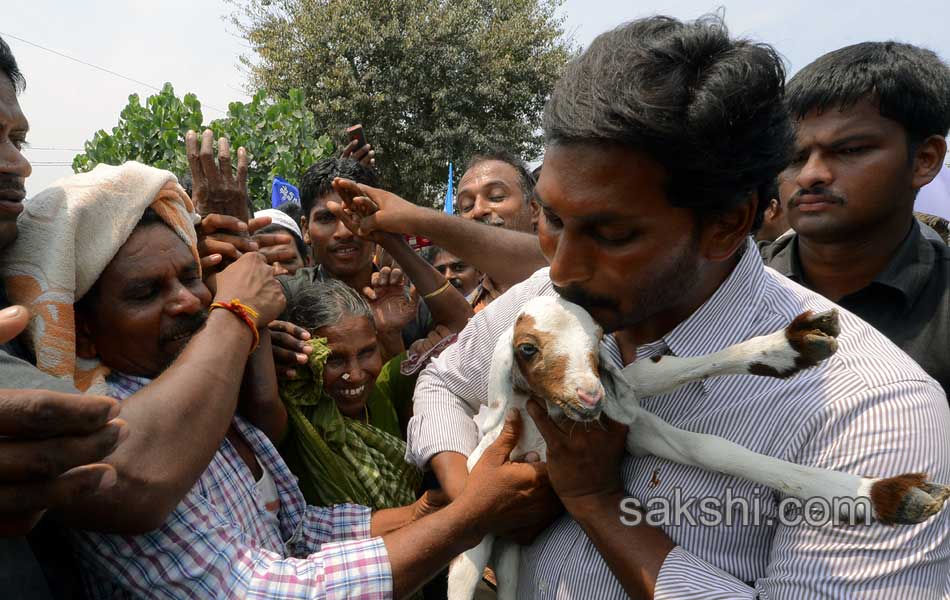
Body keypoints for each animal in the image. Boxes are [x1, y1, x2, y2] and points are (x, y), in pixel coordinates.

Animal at [450, 296, 950, 600]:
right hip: (483, 540)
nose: (589, 397)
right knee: (463, 573)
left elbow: (705, 442)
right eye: (527, 348)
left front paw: (882, 495)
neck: (548, 421)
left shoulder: (628, 424)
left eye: (596, 342)